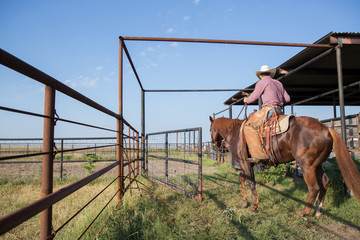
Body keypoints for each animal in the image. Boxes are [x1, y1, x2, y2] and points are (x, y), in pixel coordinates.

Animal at [210, 115, 360, 218]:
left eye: (210, 129)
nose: (215, 145)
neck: (235, 133)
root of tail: (326, 128)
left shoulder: (245, 163)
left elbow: (251, 183)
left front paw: (254, 207)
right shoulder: (247, 165)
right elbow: (242, 179)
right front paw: (245, 202)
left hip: (307, 166)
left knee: (314, 187)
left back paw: (304, 212)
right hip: (317, 165)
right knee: (325, 182)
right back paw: (318, 211)